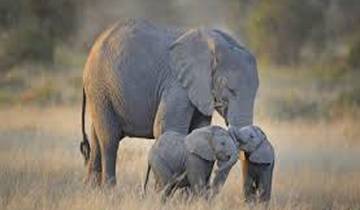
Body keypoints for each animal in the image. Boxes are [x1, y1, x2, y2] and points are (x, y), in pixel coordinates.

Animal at [80, 18, 258, 188]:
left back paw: (92, 189)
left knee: (96, 137)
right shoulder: (177, 84)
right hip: (100, 87)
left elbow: (198, 129)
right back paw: (109, 190)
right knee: (109, 139)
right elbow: (166, 127)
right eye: (229, 89)